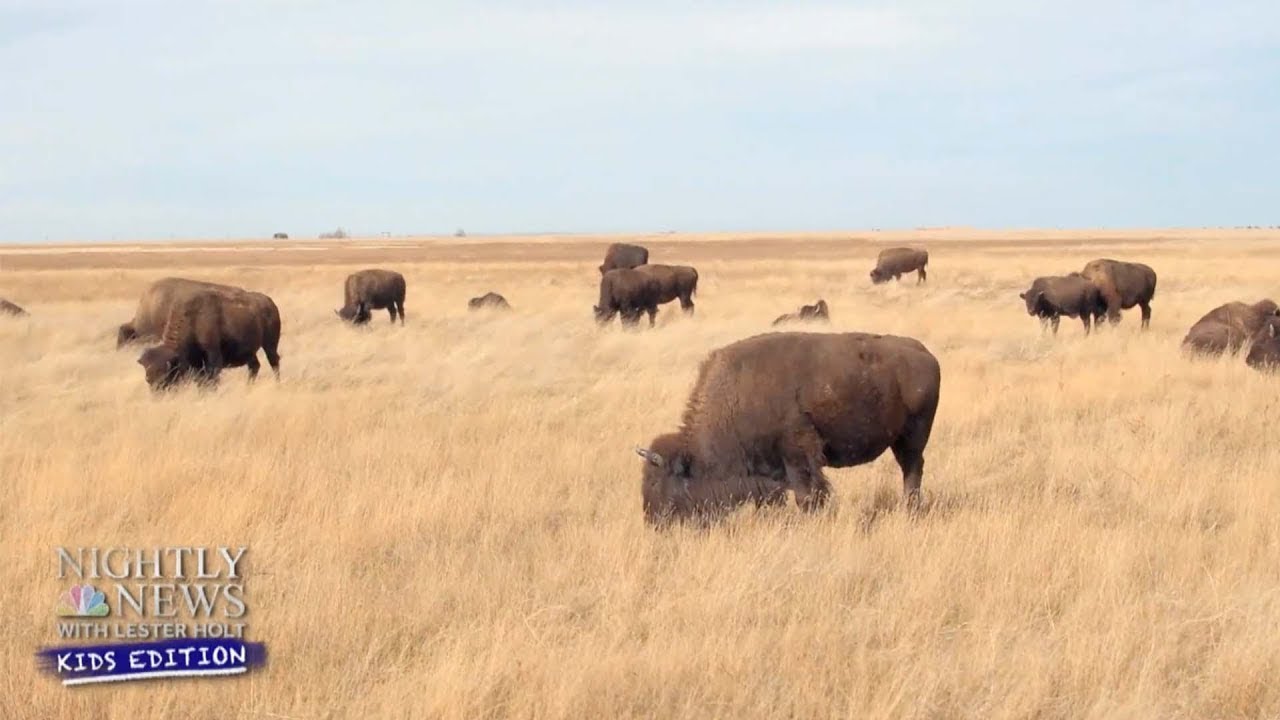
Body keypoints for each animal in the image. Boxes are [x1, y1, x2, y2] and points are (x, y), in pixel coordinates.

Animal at [137, 289, 282, 391]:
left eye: (165, 377)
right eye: (148, 380)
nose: (158, 397)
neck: (193, 320)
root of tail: (270, 303)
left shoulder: (213, 359)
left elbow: (211, 381)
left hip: (270, 344)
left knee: (274, 362)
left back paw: (277, 384)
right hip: (250, 352)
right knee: (254, 366)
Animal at [635, 331, 941, 528]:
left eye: (658, 482)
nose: (654, 522)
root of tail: (925, 354)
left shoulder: (798, 456)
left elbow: (807, 495)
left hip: (912, 438)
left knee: (912, 471)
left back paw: (911, 511)